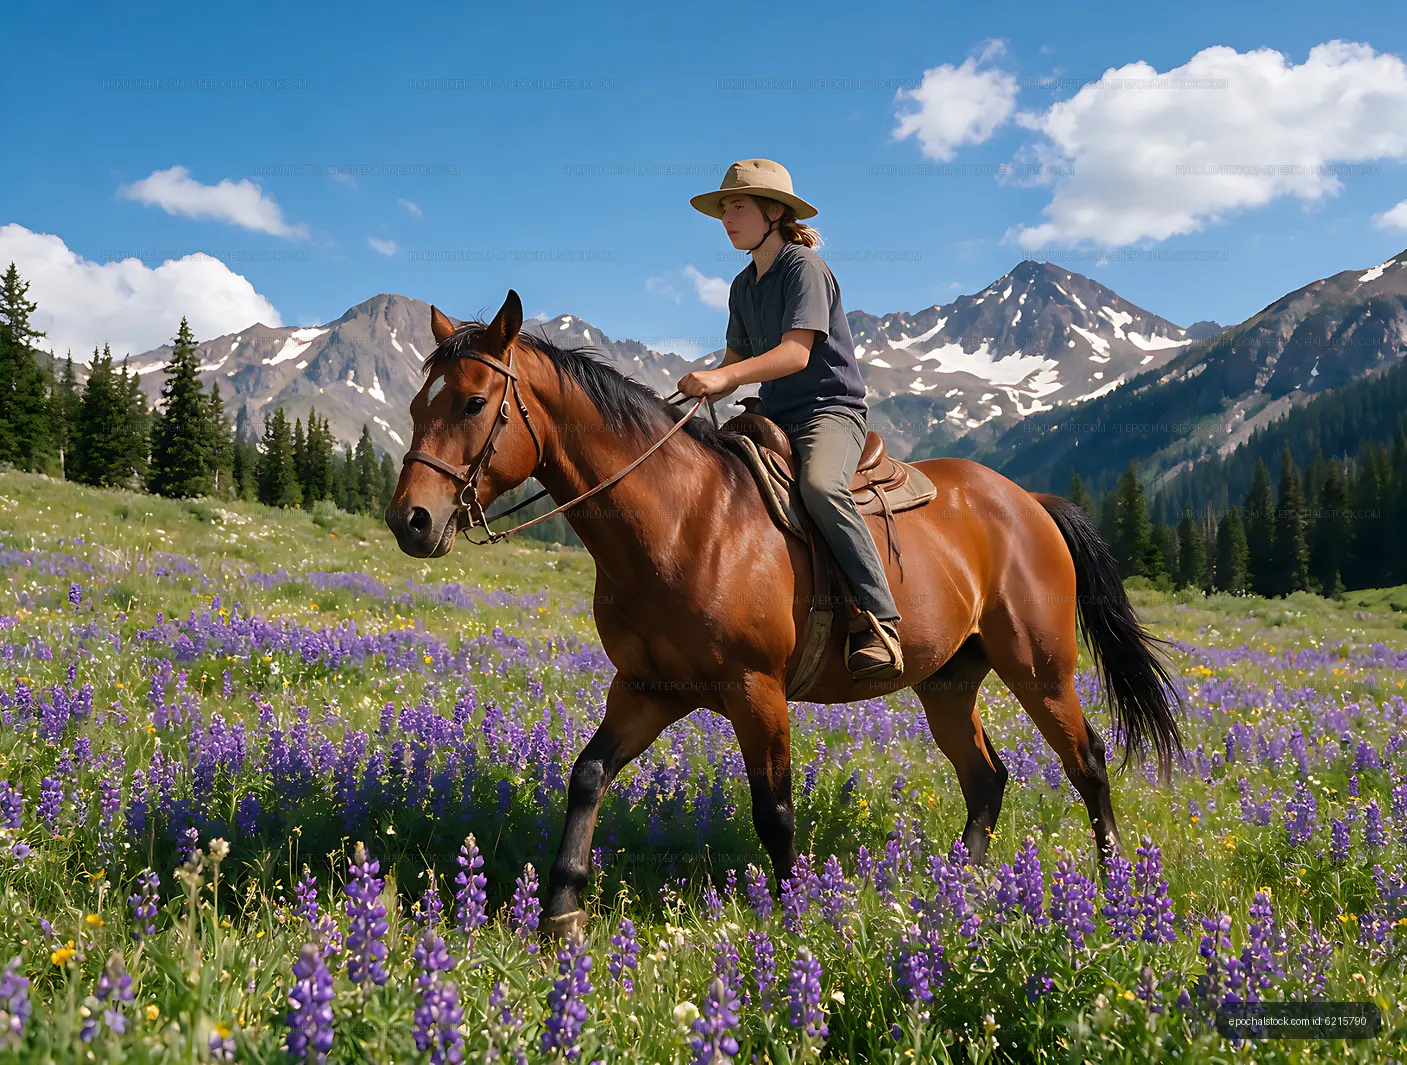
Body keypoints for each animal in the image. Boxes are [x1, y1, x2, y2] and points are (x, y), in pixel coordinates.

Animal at [385, 289, 1185, 938]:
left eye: (473, 403)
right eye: (417, 405)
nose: (410, 521)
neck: (682, 522)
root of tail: (1030, 503)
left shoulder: (756, 691)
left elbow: (774, 813)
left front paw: (795, 913)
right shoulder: (645, 689)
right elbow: (586, 775)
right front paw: (559, 913)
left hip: (1040, 667)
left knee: (1087, 764)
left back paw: (1114, 890)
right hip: (949, 682)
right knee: (986, 778)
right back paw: (959, 890)